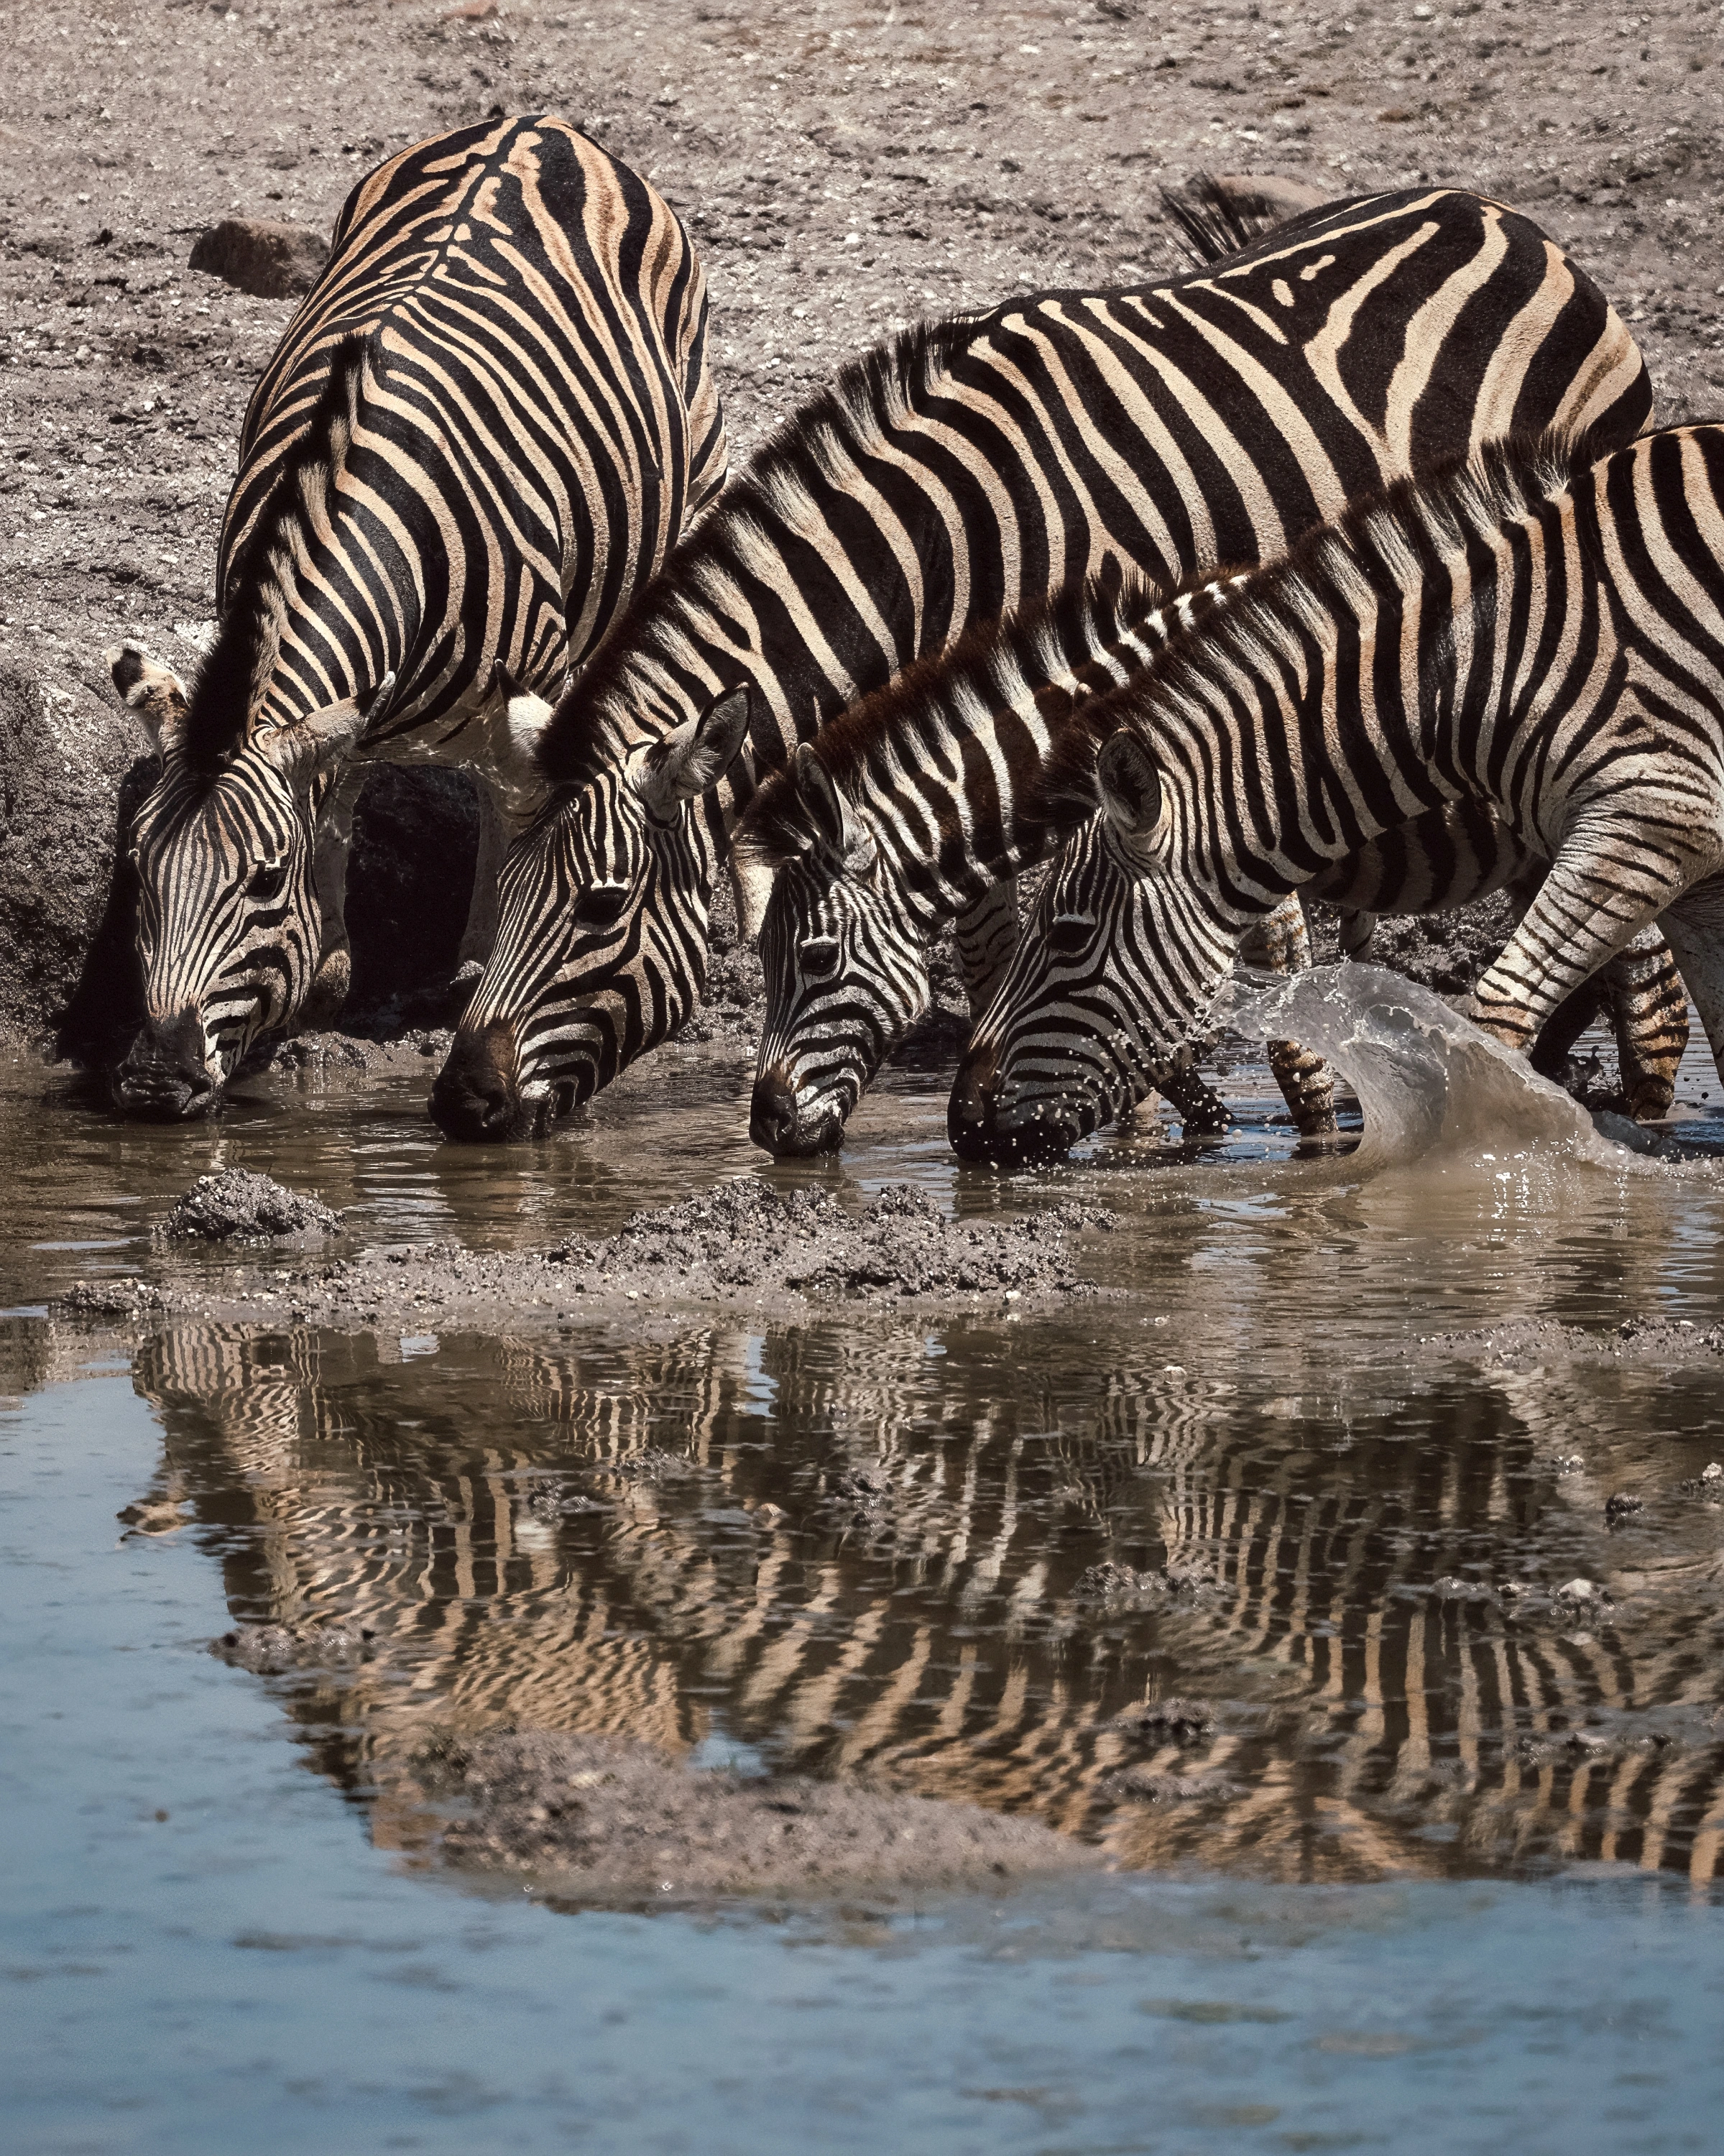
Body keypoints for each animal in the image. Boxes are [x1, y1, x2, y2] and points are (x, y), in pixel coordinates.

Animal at [107, 113, 726, 1119]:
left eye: (262, 883)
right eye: (136, 871)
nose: (155, 1086)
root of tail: (536, 123)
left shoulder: (526, 683)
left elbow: (515, 819)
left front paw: (476, 963)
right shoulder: (344, 703)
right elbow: (333, 793)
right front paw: (325, 971)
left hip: (686, 477)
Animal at [731, 572, 1687, 1156]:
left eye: (814, 959)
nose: (766, 1128)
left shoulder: (1230, 878)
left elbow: (1279, 1040)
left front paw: (1305, 1148)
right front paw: (1198, 1123)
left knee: (1647, 993)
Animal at [952, 425, 1724, 1164]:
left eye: (1067, 935)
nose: (962, 1126)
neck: (1480, 665)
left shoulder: (1652, 816)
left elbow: (1491, 1015)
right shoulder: (1695, 877)